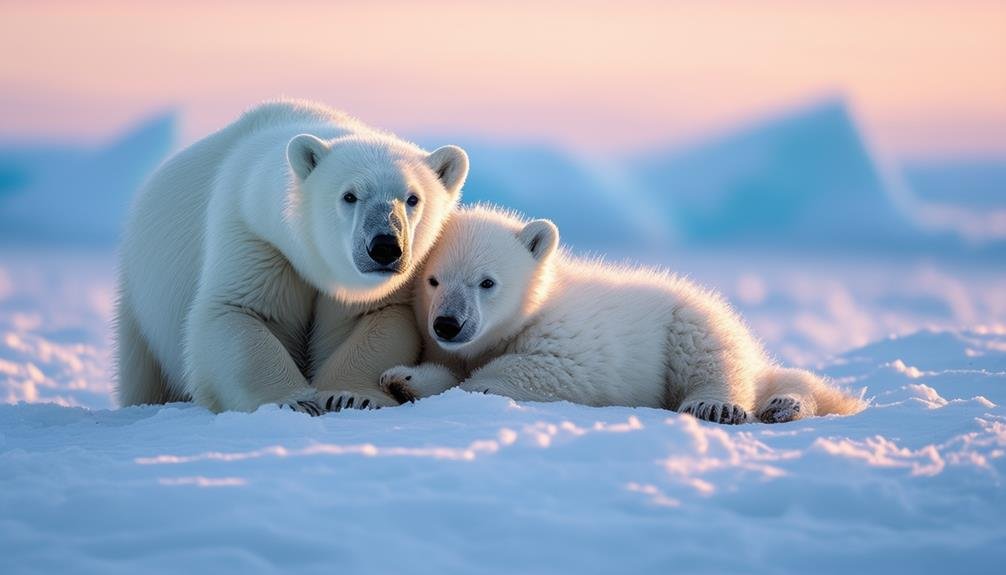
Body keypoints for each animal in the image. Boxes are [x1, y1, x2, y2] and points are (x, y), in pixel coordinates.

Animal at [115, 100, 468, 414]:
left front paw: (349, 396)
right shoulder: (255, 234)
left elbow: (380, 320)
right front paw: (293, 401)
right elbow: (237, 312)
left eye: (413, 198)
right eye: (349, 195)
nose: (384, 247)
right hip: (137, 303)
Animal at [378, 207, 865, 422]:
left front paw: (471, 387)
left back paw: (721, 404)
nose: (448, 323)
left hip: (690, 316)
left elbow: (551, 369)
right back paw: (782, 403)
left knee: (714, 354)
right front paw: (403, 379)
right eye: (433, 280)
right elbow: (442, 366)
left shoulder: (570, 339)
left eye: (487, 282)